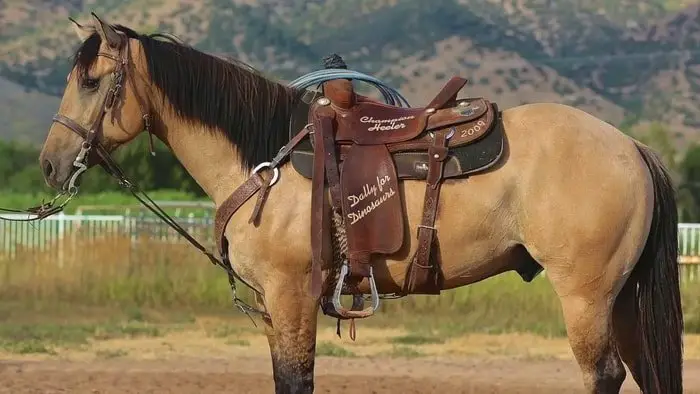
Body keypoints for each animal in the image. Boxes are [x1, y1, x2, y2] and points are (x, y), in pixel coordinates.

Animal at [34, 14, 684, 394]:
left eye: (91, 81)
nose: (50, 163)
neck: (262, 162)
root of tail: (631, 146)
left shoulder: (291, 296)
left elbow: (297, 380)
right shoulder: (274, 309)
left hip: (586, 294)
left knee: (604, 374)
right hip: (621, 297)